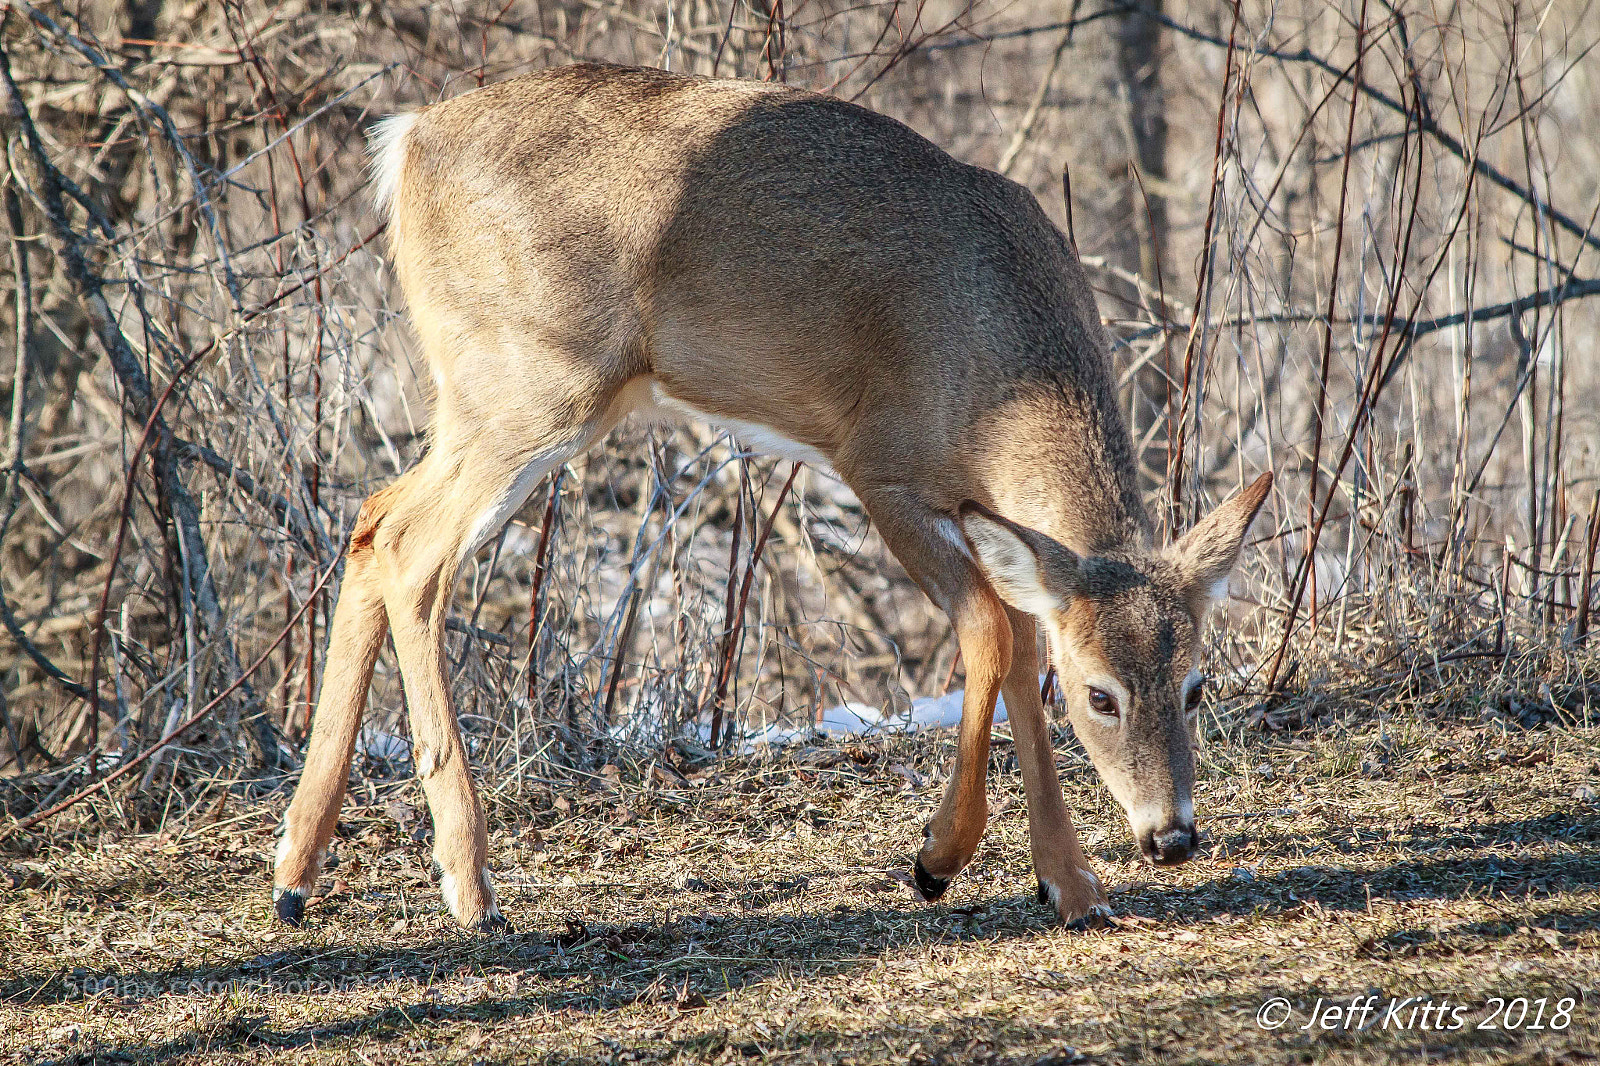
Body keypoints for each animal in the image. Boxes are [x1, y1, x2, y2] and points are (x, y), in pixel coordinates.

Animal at [271, 63, 1274, 932]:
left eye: (1196, 684)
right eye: (1101, 696)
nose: (1173, 837)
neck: (1001, 379)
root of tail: (406, 141)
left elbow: (1024, 646)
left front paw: (1069, 884)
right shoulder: (879, 464)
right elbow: (993, 632)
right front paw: (937, 859)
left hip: (496, 396)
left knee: (371, 518)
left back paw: (297, 873)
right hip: (529, 378)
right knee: (412, 550)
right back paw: (469, 884)